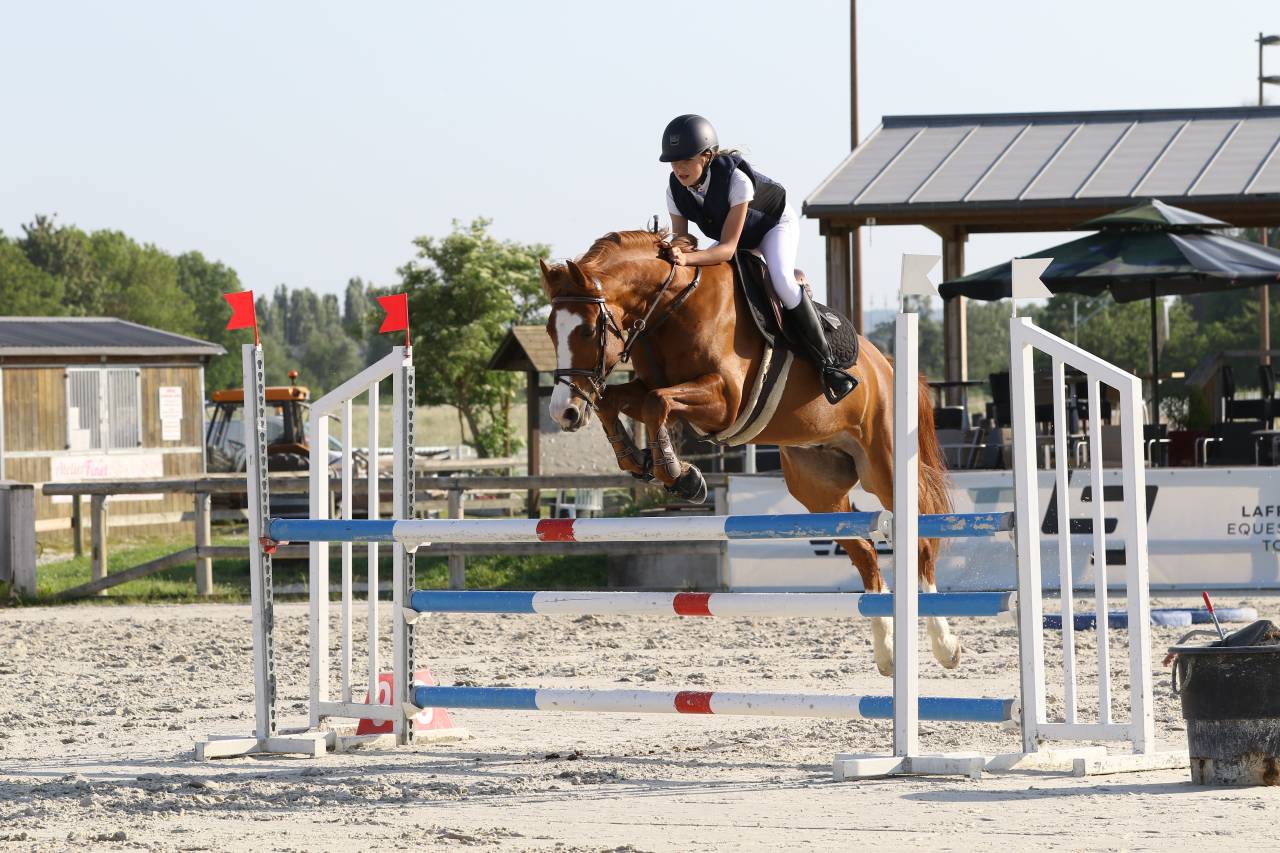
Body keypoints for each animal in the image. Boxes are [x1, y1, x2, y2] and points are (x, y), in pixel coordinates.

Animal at [539, 230, 957, 676]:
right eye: (550, 331)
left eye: (587, 331)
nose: (562, 412)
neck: (671, 307)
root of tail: (889, 365)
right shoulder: (648, 386)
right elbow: (617, 401)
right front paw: (641, 463)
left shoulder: (725, 399)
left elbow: (657, 403)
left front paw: (680, 475)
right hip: (818, 487)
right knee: (865, 555)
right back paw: (887, 652)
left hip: (884, 468)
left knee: (920, 543)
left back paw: (945, 645)